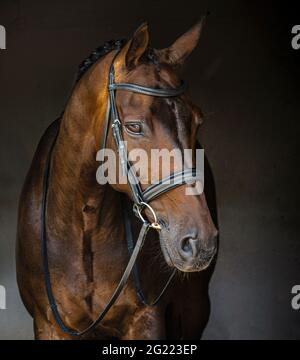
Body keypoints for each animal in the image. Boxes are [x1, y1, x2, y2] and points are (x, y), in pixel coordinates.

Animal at [15, 20, 218, 340]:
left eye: (197, 121)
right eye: (134, 126)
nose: (201, 241)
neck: (84, 222)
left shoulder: (146, 321)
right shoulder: (47, 324)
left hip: (195, 308)